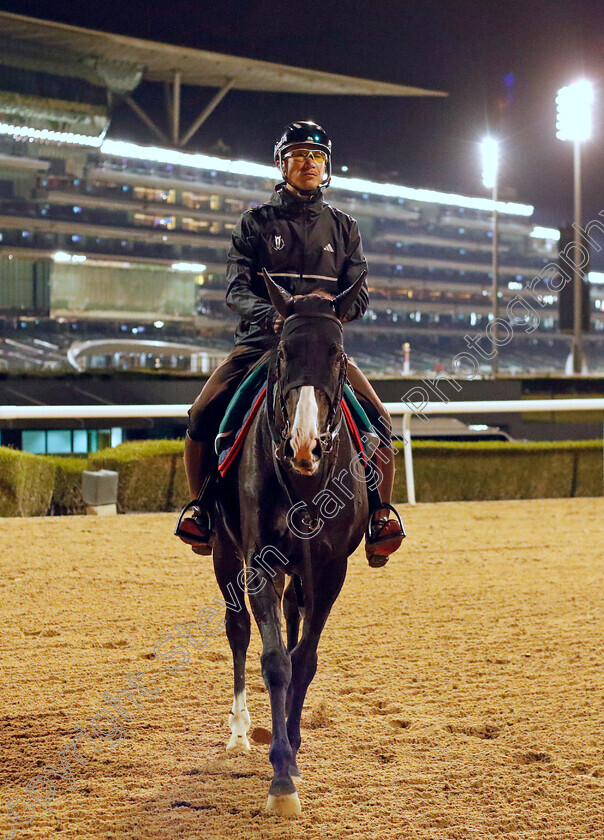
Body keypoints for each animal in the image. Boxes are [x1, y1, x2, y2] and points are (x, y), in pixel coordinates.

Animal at [212, 268, 372, 812]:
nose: (305, 446)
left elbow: (304, 660)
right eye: (283, 352)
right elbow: (276, 661)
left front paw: (294, 752)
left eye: (338, 354)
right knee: (238, 629)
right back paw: (240, 731)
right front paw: (280, 778)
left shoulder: (329, 570)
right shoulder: (259, 563)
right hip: (223, 551)